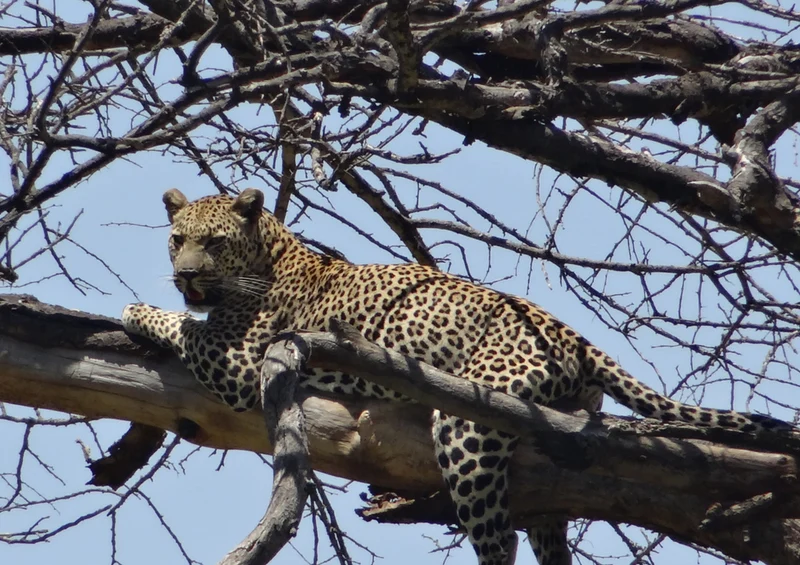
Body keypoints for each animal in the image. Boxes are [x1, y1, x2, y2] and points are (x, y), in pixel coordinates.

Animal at [122, 188, 793, 565]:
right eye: (177, 240)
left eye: (212, 243)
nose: (185, 274)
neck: (270, 251)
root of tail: (574, 337)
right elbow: (185, 319)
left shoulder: (244, 362)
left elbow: (182, 324)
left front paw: (136, 312)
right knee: (550, 528)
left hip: (467, 420)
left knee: (501, 541)